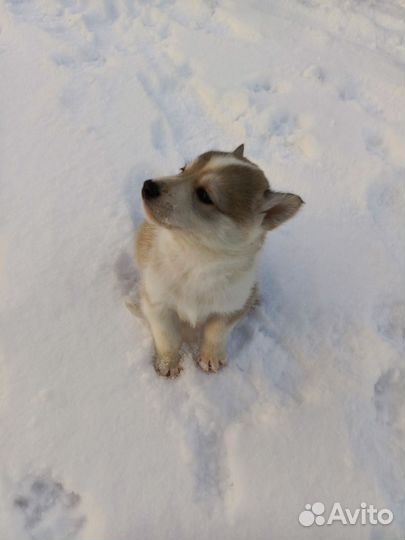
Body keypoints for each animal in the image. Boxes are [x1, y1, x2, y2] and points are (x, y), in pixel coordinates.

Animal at [134, 146, 302, 378]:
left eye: (204, 195)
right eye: (183, 169)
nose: (148, 186)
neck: (196, 259)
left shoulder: (231, 306)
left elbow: (217, 331)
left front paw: (210, 357)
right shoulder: (156, 302)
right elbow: (167, 335)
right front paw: (168, 362)